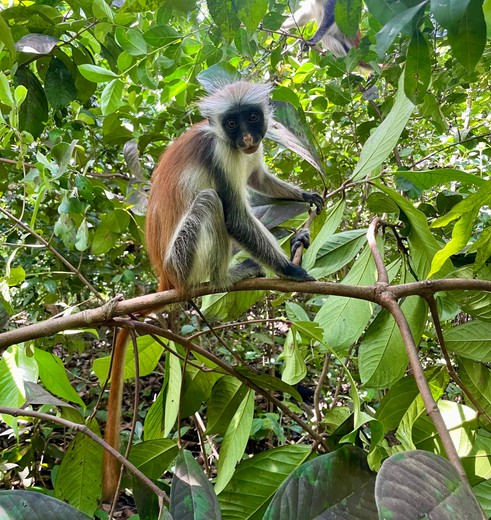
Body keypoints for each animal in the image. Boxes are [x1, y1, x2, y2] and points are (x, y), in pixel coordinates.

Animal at [102, 80, 324, 500]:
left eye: (252, 117)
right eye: (232, 124)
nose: (249, 138)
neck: (229, 143)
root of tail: (165, 276)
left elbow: (256, 178)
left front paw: (303, 197)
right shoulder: (218, 155)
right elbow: (235, 215)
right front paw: (289, 269)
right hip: (183, 258)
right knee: (211, 202)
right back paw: (229, 275)